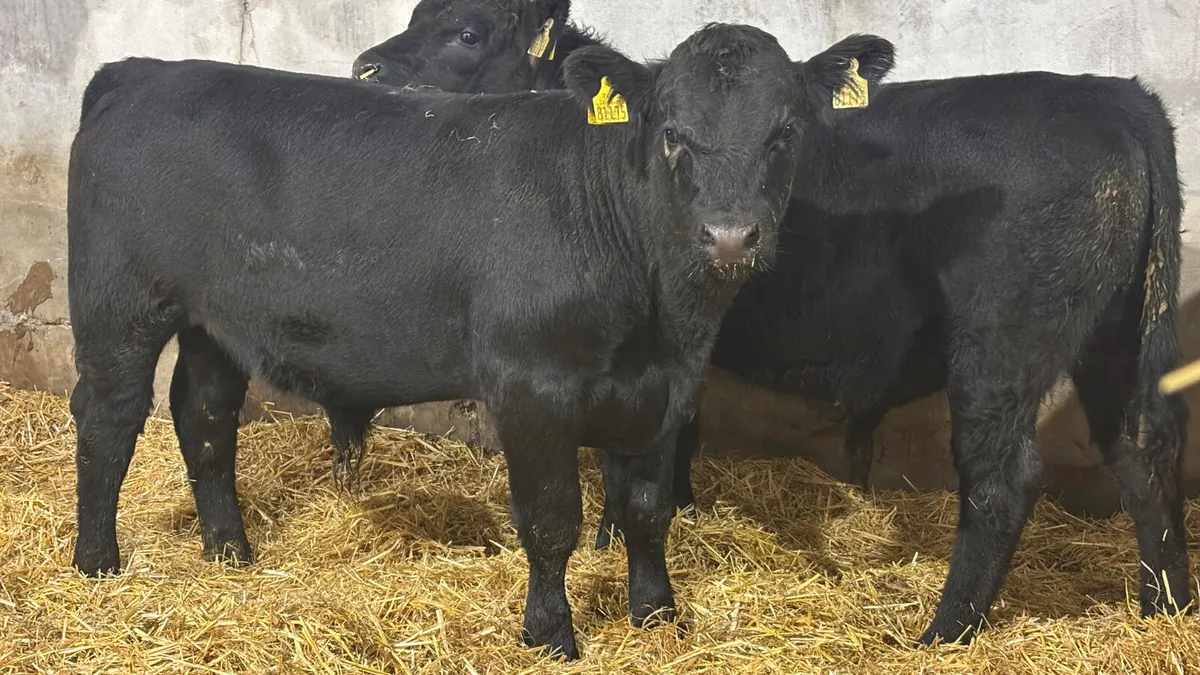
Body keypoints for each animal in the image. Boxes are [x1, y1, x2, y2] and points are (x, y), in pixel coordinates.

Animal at [66, 22, 893, 659]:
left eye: (785, 133)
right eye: (672, 135)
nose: (728, 236)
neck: (659, 314)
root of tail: (140, 71)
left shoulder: (667, 387)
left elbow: (647, 507)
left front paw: (658, 614)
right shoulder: (531, 383)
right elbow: (552, 519)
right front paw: (551, 632)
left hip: (215, 321)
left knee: (204, 416)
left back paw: (231, 552)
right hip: (120, 304)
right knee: (108, 419)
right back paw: (97, 563)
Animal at [352, 0, 1193, 646]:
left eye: (466, 32)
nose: (364, 69)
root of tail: (1116, 95)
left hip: (1003, 343)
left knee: (1001, 476)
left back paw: (945, 630)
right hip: (1118, 329)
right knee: (1142, 447)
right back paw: (1166, 604)